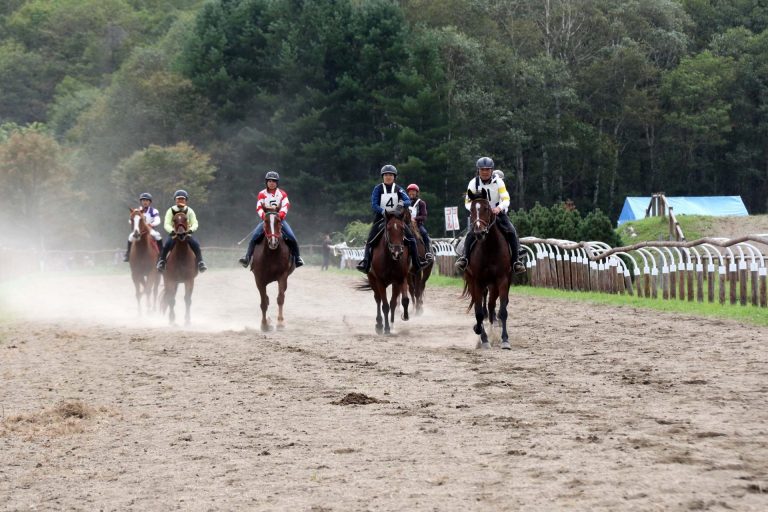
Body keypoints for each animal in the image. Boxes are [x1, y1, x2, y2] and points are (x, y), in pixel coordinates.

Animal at [461, 192, 513, 349]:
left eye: (486, 208)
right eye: (472, 209)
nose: (479, 232)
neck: (490, 247)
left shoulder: (502, 280)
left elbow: (502, 311)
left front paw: (505, 339)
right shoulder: (477, 281)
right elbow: (478, 312)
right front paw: (482, 336)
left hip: (494, 284)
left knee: (491, 307)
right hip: (474, 282)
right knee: (482, 307)